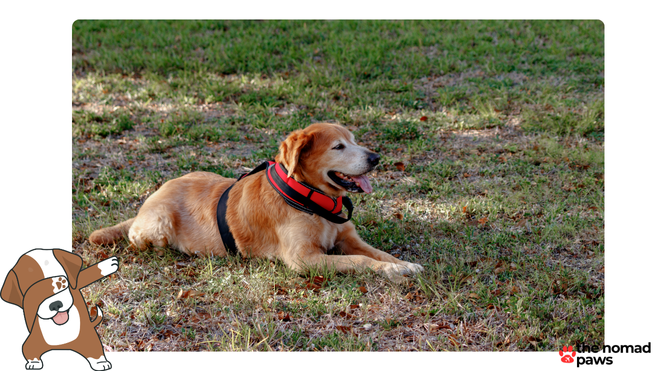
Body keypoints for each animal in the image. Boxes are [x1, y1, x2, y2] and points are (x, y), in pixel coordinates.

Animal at [90, 123, 426, 280]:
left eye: (354, 141)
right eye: (338, 147)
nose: (376, 158)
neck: (310, 198)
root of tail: (151, 198)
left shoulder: (348, 238)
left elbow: (379, 254)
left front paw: (402, 265)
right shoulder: (303, 259)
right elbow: (360, 261)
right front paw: (392, 270)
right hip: (157, 226)